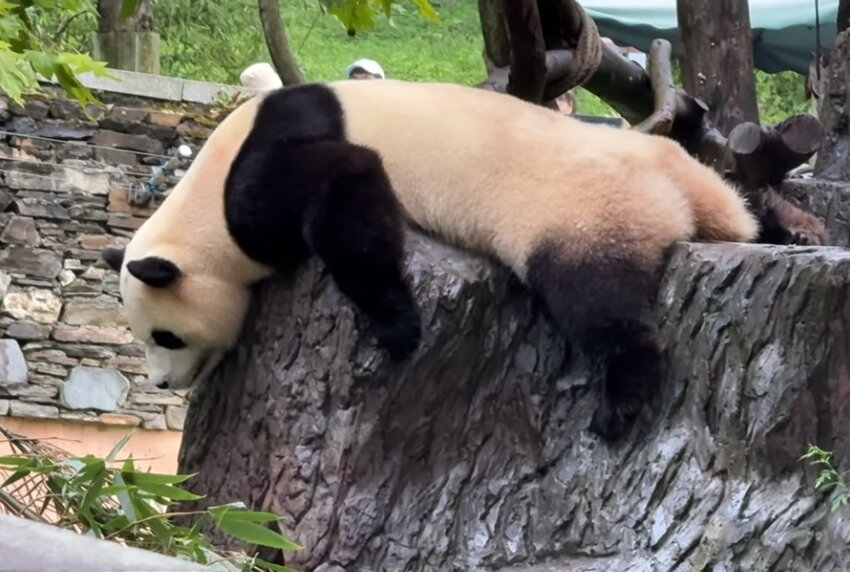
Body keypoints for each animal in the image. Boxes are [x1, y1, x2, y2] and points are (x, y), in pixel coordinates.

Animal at [99, 78, 756, 440]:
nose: (164, 382)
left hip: (583, 209)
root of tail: (678, 196)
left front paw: (396, 329)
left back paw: (622, 397)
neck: (199, 200)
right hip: (693, 187)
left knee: (595, 296)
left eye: (166, 336)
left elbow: (350, 191)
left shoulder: (262, 179)